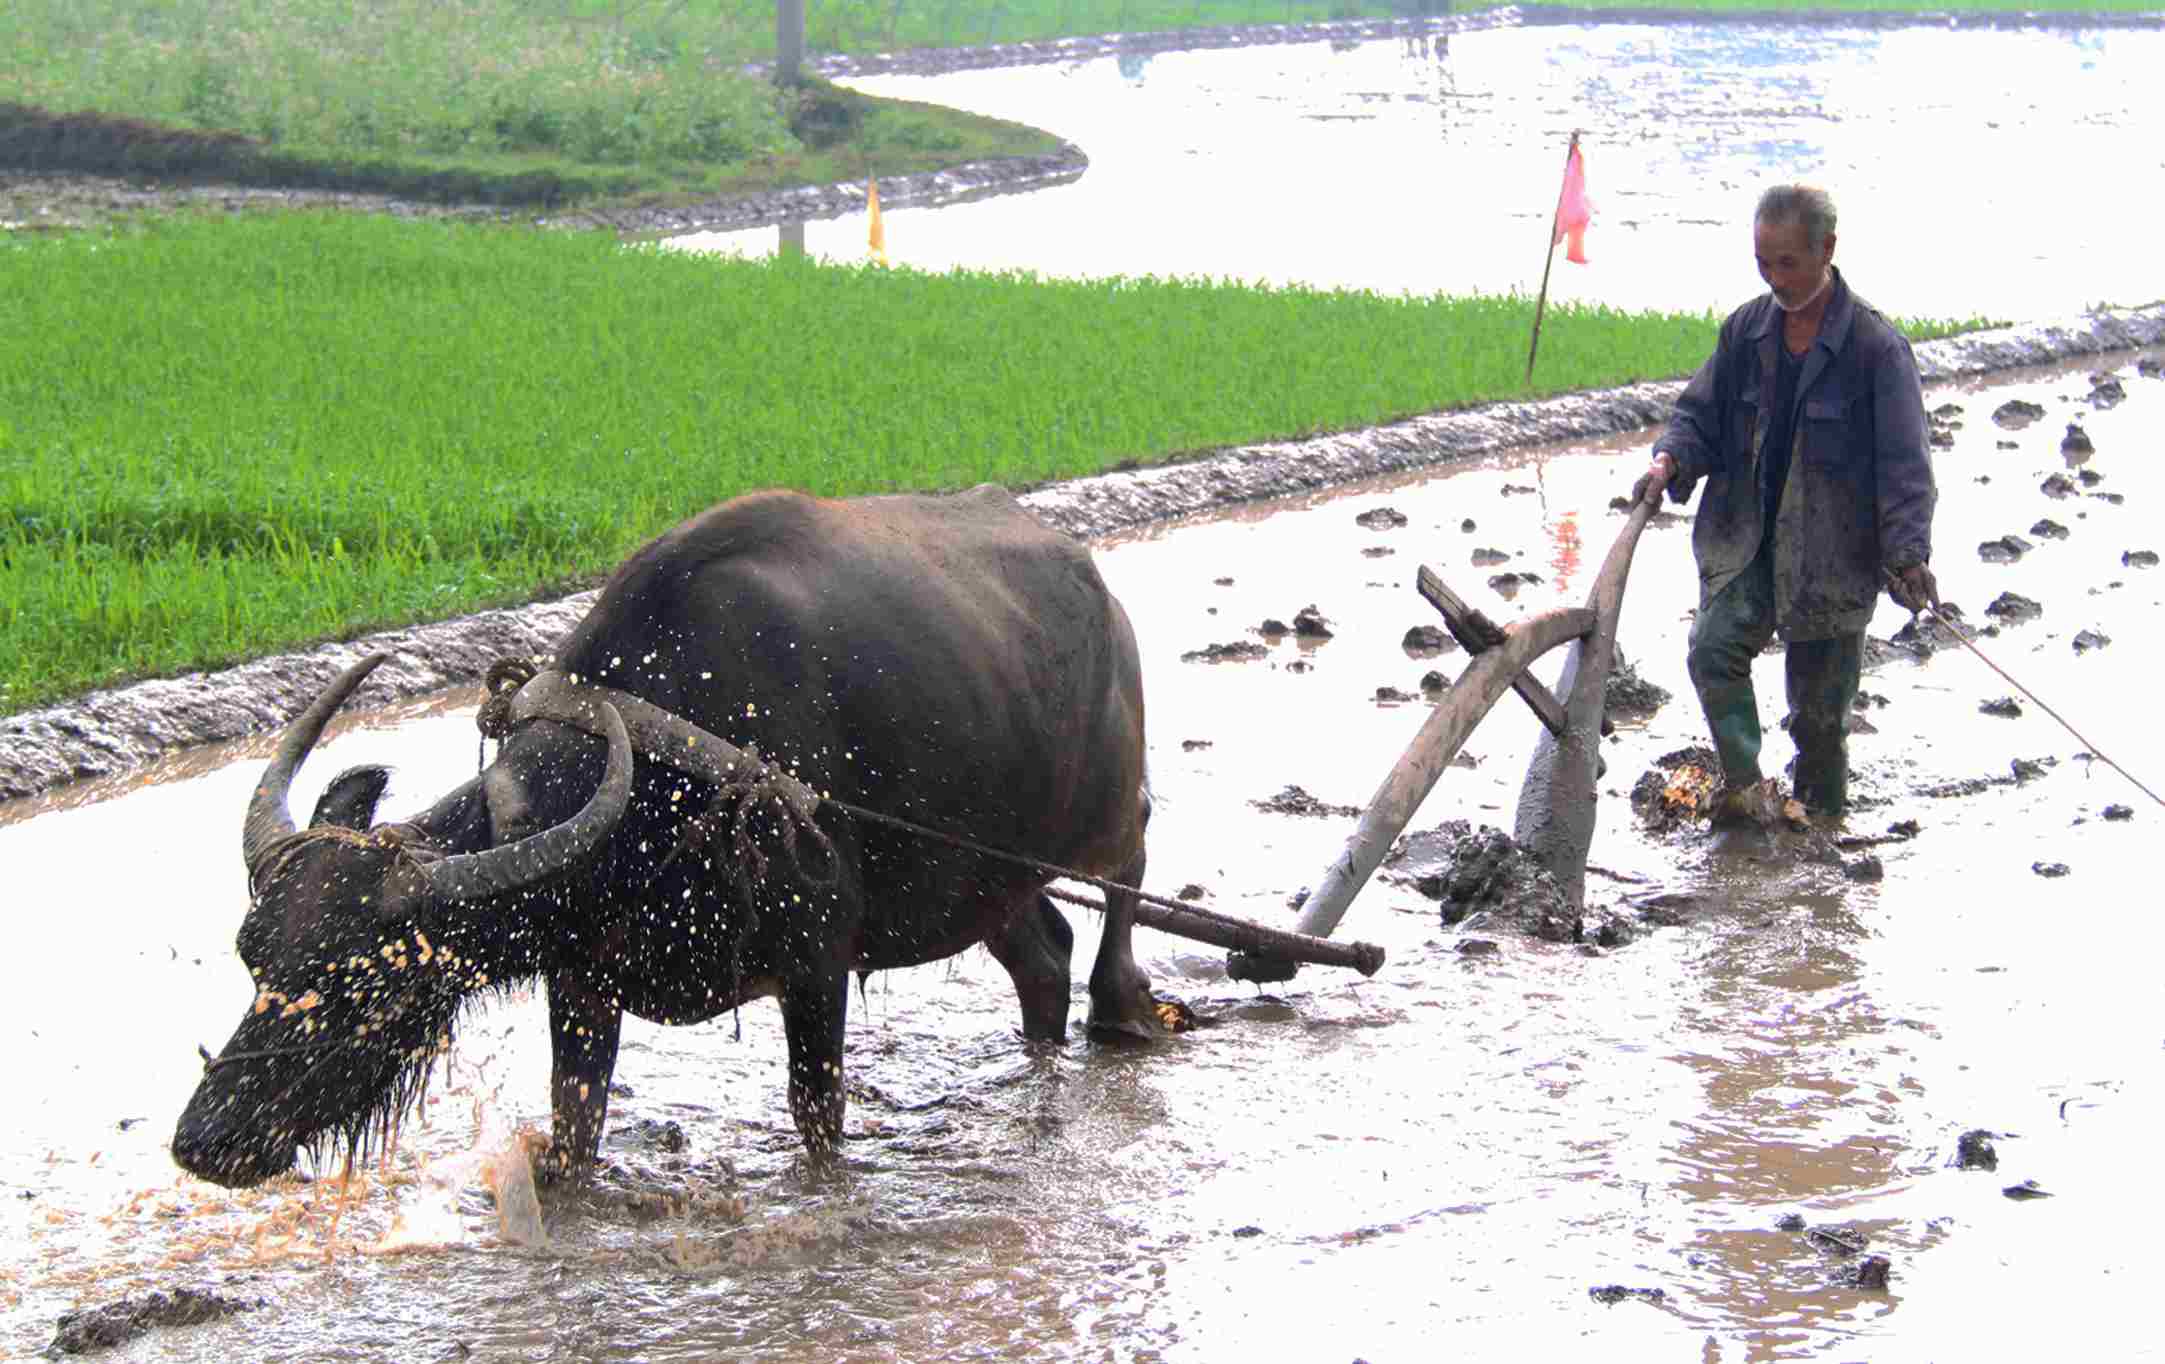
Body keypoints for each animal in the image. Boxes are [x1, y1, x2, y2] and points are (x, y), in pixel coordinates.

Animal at [177, 489, 1160, 1186]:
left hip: (1108, 813)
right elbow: (573, 1132)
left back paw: (1123, 1007)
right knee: (1042, 952)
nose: (206, 1141)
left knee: (1128, 880)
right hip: (979, 875)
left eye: (369, 985)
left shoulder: (817, 966)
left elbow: (818, 1126)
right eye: (256, 956)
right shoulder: (582, 984)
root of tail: (1097, 588)